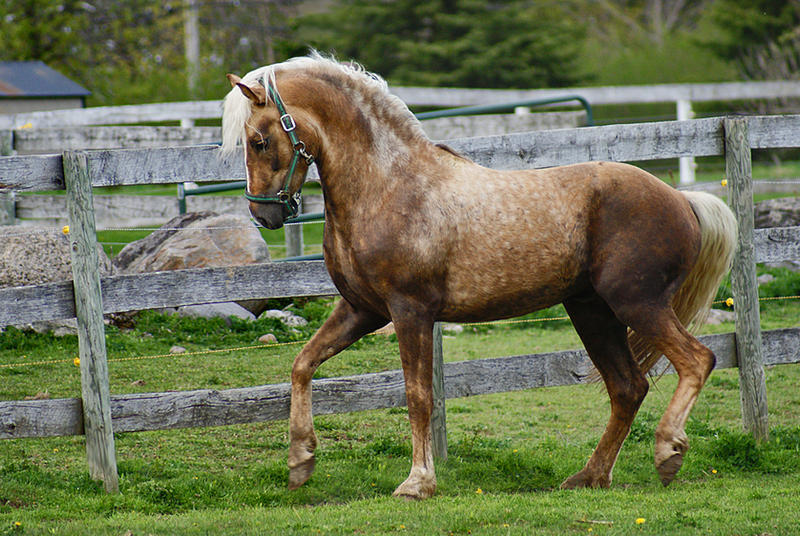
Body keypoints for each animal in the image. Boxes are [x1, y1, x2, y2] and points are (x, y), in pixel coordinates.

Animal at [221, 53, 737, 500]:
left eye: (260, 140)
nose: (263, 215)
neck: (390, 186)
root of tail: (682, 199)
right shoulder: (361, 311)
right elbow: (302, 365)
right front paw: (300, 461)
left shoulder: (410, 312)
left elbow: (418, 395)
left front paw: (417, 483)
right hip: (592, 311)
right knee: (628, 388)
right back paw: (589, 476)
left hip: (636, 303)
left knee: (697, 361)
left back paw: (668, 452)